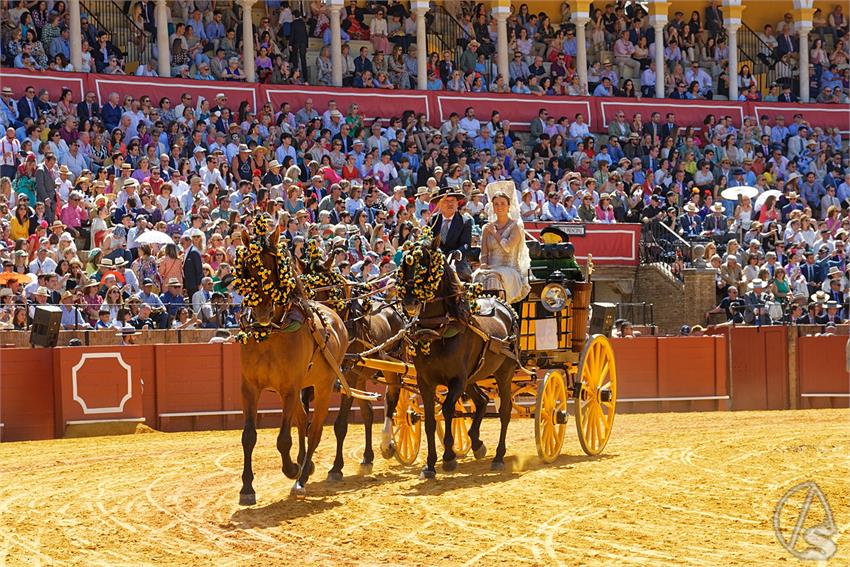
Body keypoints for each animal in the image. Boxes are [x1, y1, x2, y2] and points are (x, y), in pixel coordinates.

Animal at [235, 224, 348, 504]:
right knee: (304, 423)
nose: (262, 312)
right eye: (249, 268)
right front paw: (247, 488)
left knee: (315, 430)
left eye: (273, 266)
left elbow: (283, 439)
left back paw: (302, 477)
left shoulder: (289, 388)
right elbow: (248, 436)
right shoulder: (249, 388)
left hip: (323, 386)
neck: (271, 332)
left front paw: (291, 469)